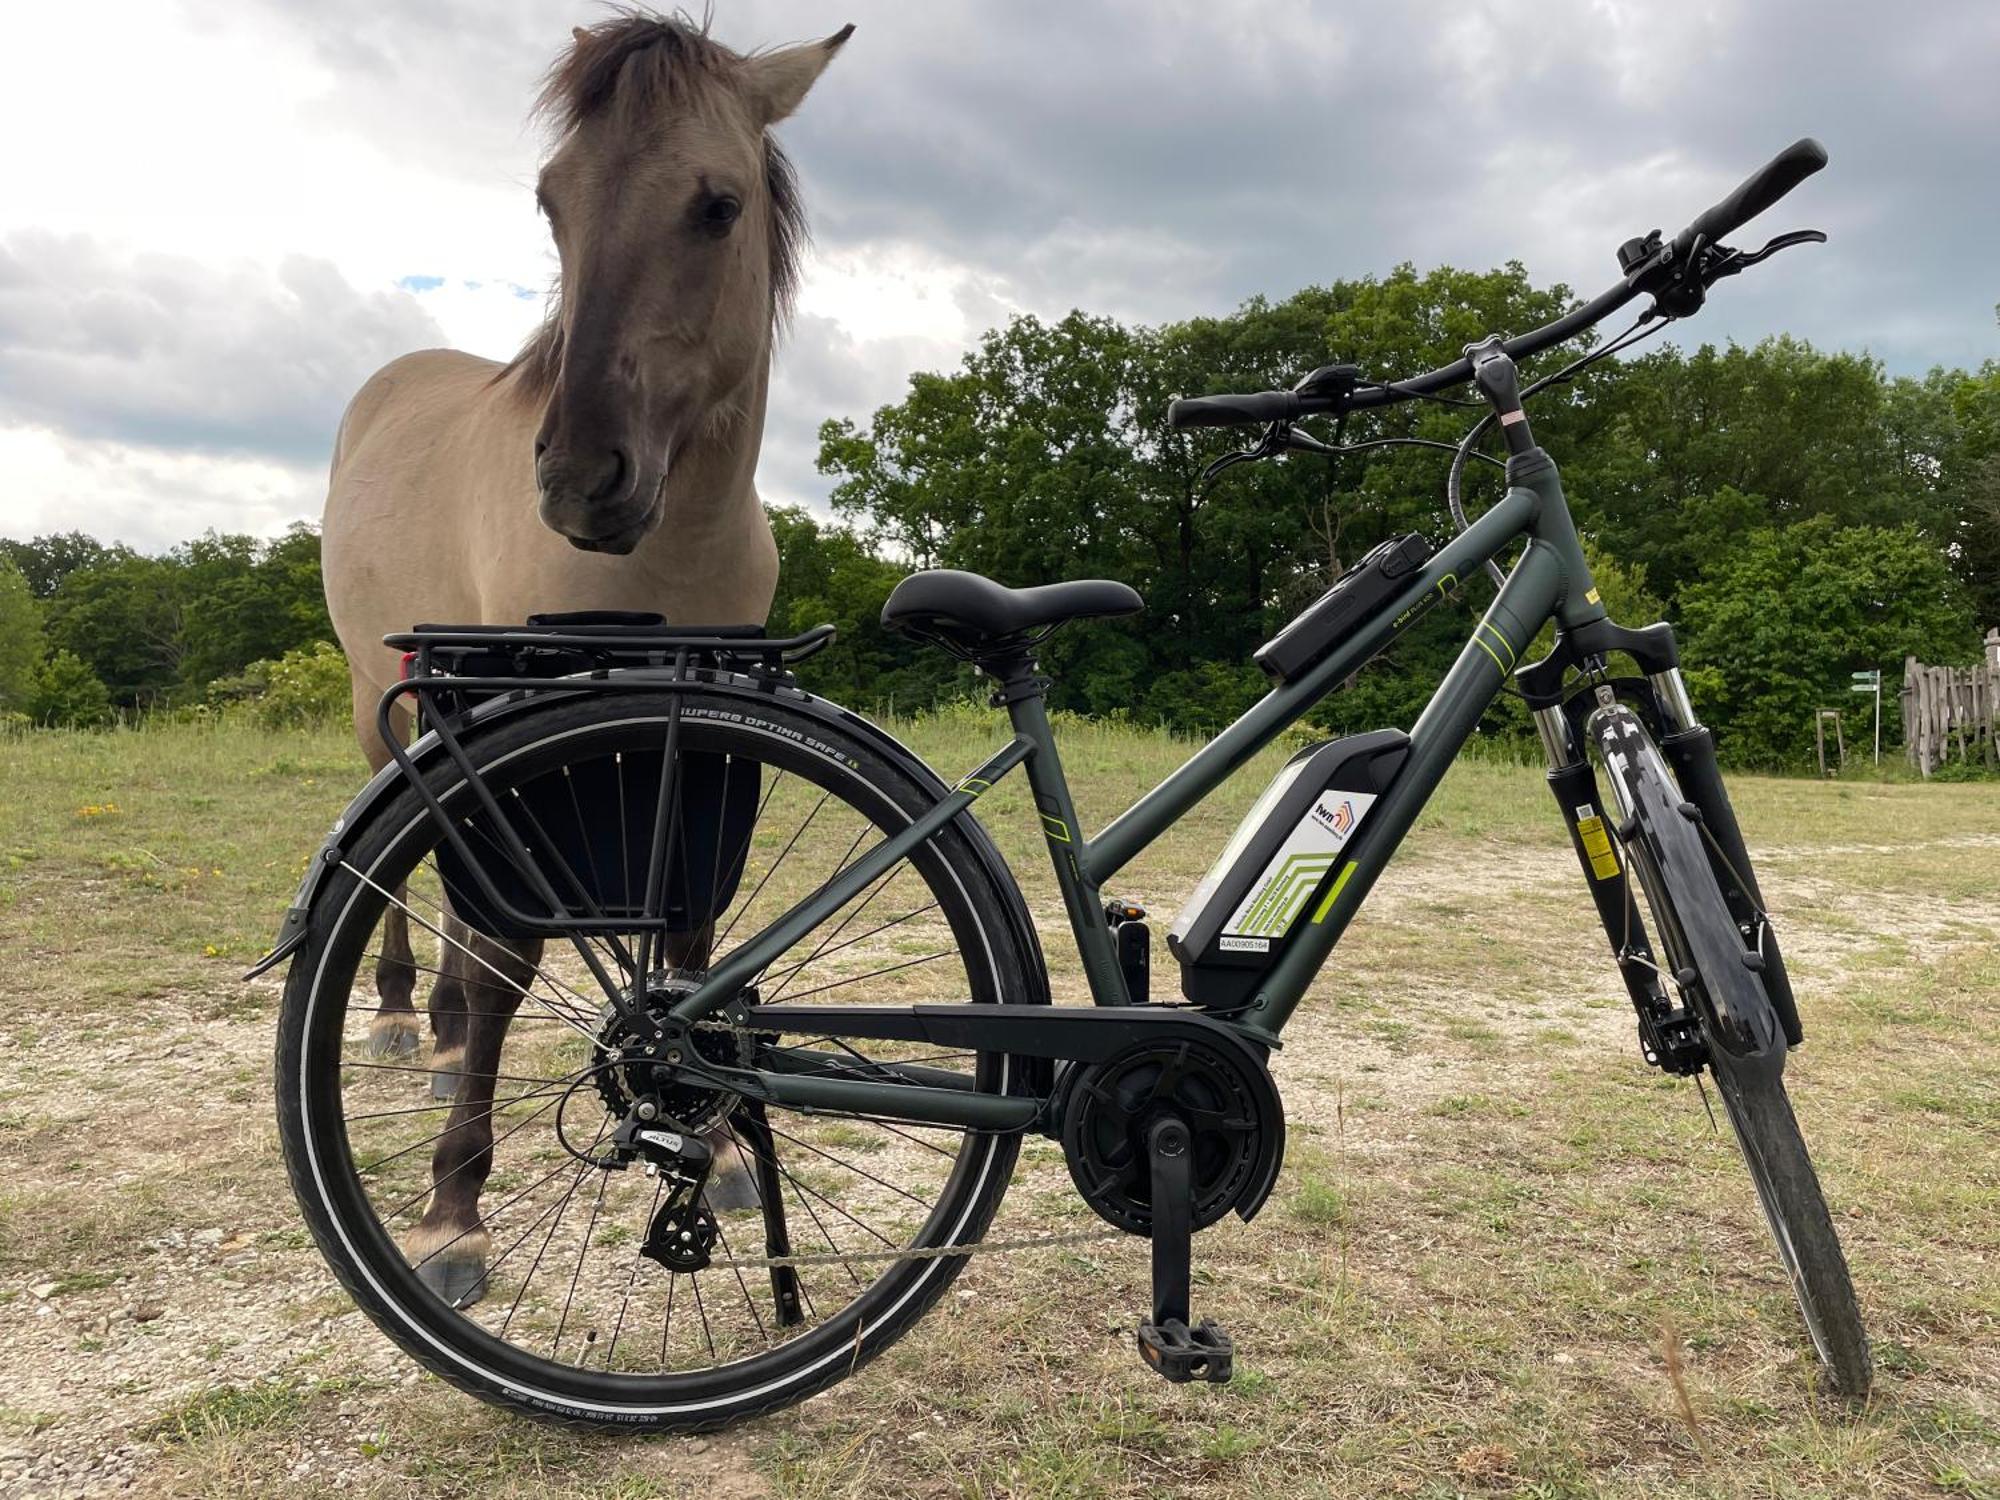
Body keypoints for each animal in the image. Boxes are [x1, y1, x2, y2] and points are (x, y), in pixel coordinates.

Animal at [320, 8, 852, 1304]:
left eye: (715, 205)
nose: (574, 481)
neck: (669, 551)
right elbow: (509, 952)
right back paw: (407, 1014)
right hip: (385, 704)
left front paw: (718, 1148)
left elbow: (688, 933)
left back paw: (444, 1026)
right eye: (552, 201)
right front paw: (454, 1211)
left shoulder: (703, 739)